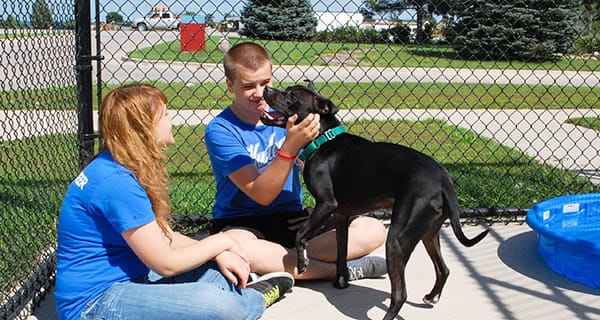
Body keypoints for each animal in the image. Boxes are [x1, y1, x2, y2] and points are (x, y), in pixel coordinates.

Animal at [260, 81, 490, 318]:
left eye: (292, 96)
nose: (267, 89)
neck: (323, 139)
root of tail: (444, 180)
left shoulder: (326, 204)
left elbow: (300, 234)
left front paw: (302, 262)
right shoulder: (341, 216)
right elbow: (341, 251)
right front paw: (341, 281)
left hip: (397, 239)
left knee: (400, 294)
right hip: (428, 232)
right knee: (443, 269)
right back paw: (430, 296)